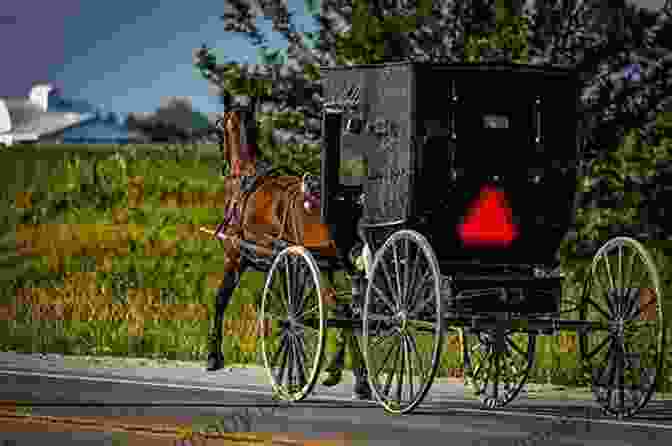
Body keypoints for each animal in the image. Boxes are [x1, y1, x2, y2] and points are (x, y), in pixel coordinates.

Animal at [207, 103, 370, 398]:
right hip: (333, 266)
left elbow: (221, 298)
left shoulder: (236, 256)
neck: (245, 176)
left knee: (343, 311)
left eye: (217, 129)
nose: (223, 165)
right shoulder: (296, 264)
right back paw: (347, 373)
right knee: (348, 311)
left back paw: (352, 375)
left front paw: (214, 356)